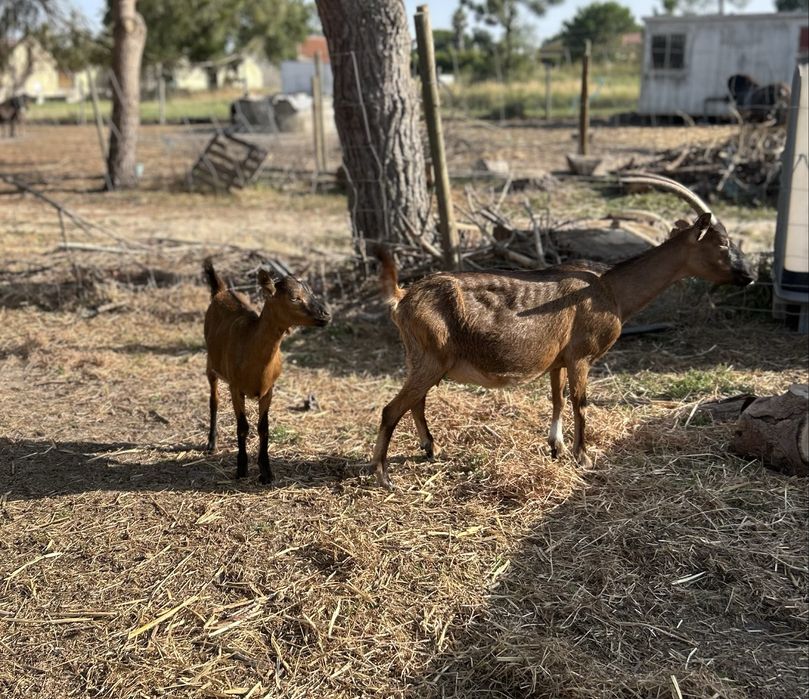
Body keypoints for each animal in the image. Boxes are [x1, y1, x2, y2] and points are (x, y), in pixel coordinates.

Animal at [203, 259, 331, 483]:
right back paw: (211, 443)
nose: (325, 315)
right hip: (211, 364)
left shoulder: (269, 390)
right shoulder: (236, 388)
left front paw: (266, 472)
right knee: (214, 400)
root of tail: (222, 291)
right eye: (294, 297)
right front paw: (242, 469)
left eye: (311, 293)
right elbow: (243, 427)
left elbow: (264, 428)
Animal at [371, 174, 756, 489]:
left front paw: (555, 447)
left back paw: (429, 449)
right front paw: (583, 457)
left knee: (416, 403)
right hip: (431, 359)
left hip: (421, 359)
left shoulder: (558, 360)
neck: (610, 290)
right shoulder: (581, 356)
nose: (749, 276)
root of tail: (402, 297)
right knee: (391, 409)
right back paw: (383, 474)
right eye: (722, 244)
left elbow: (556, 398)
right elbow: (579, 402)